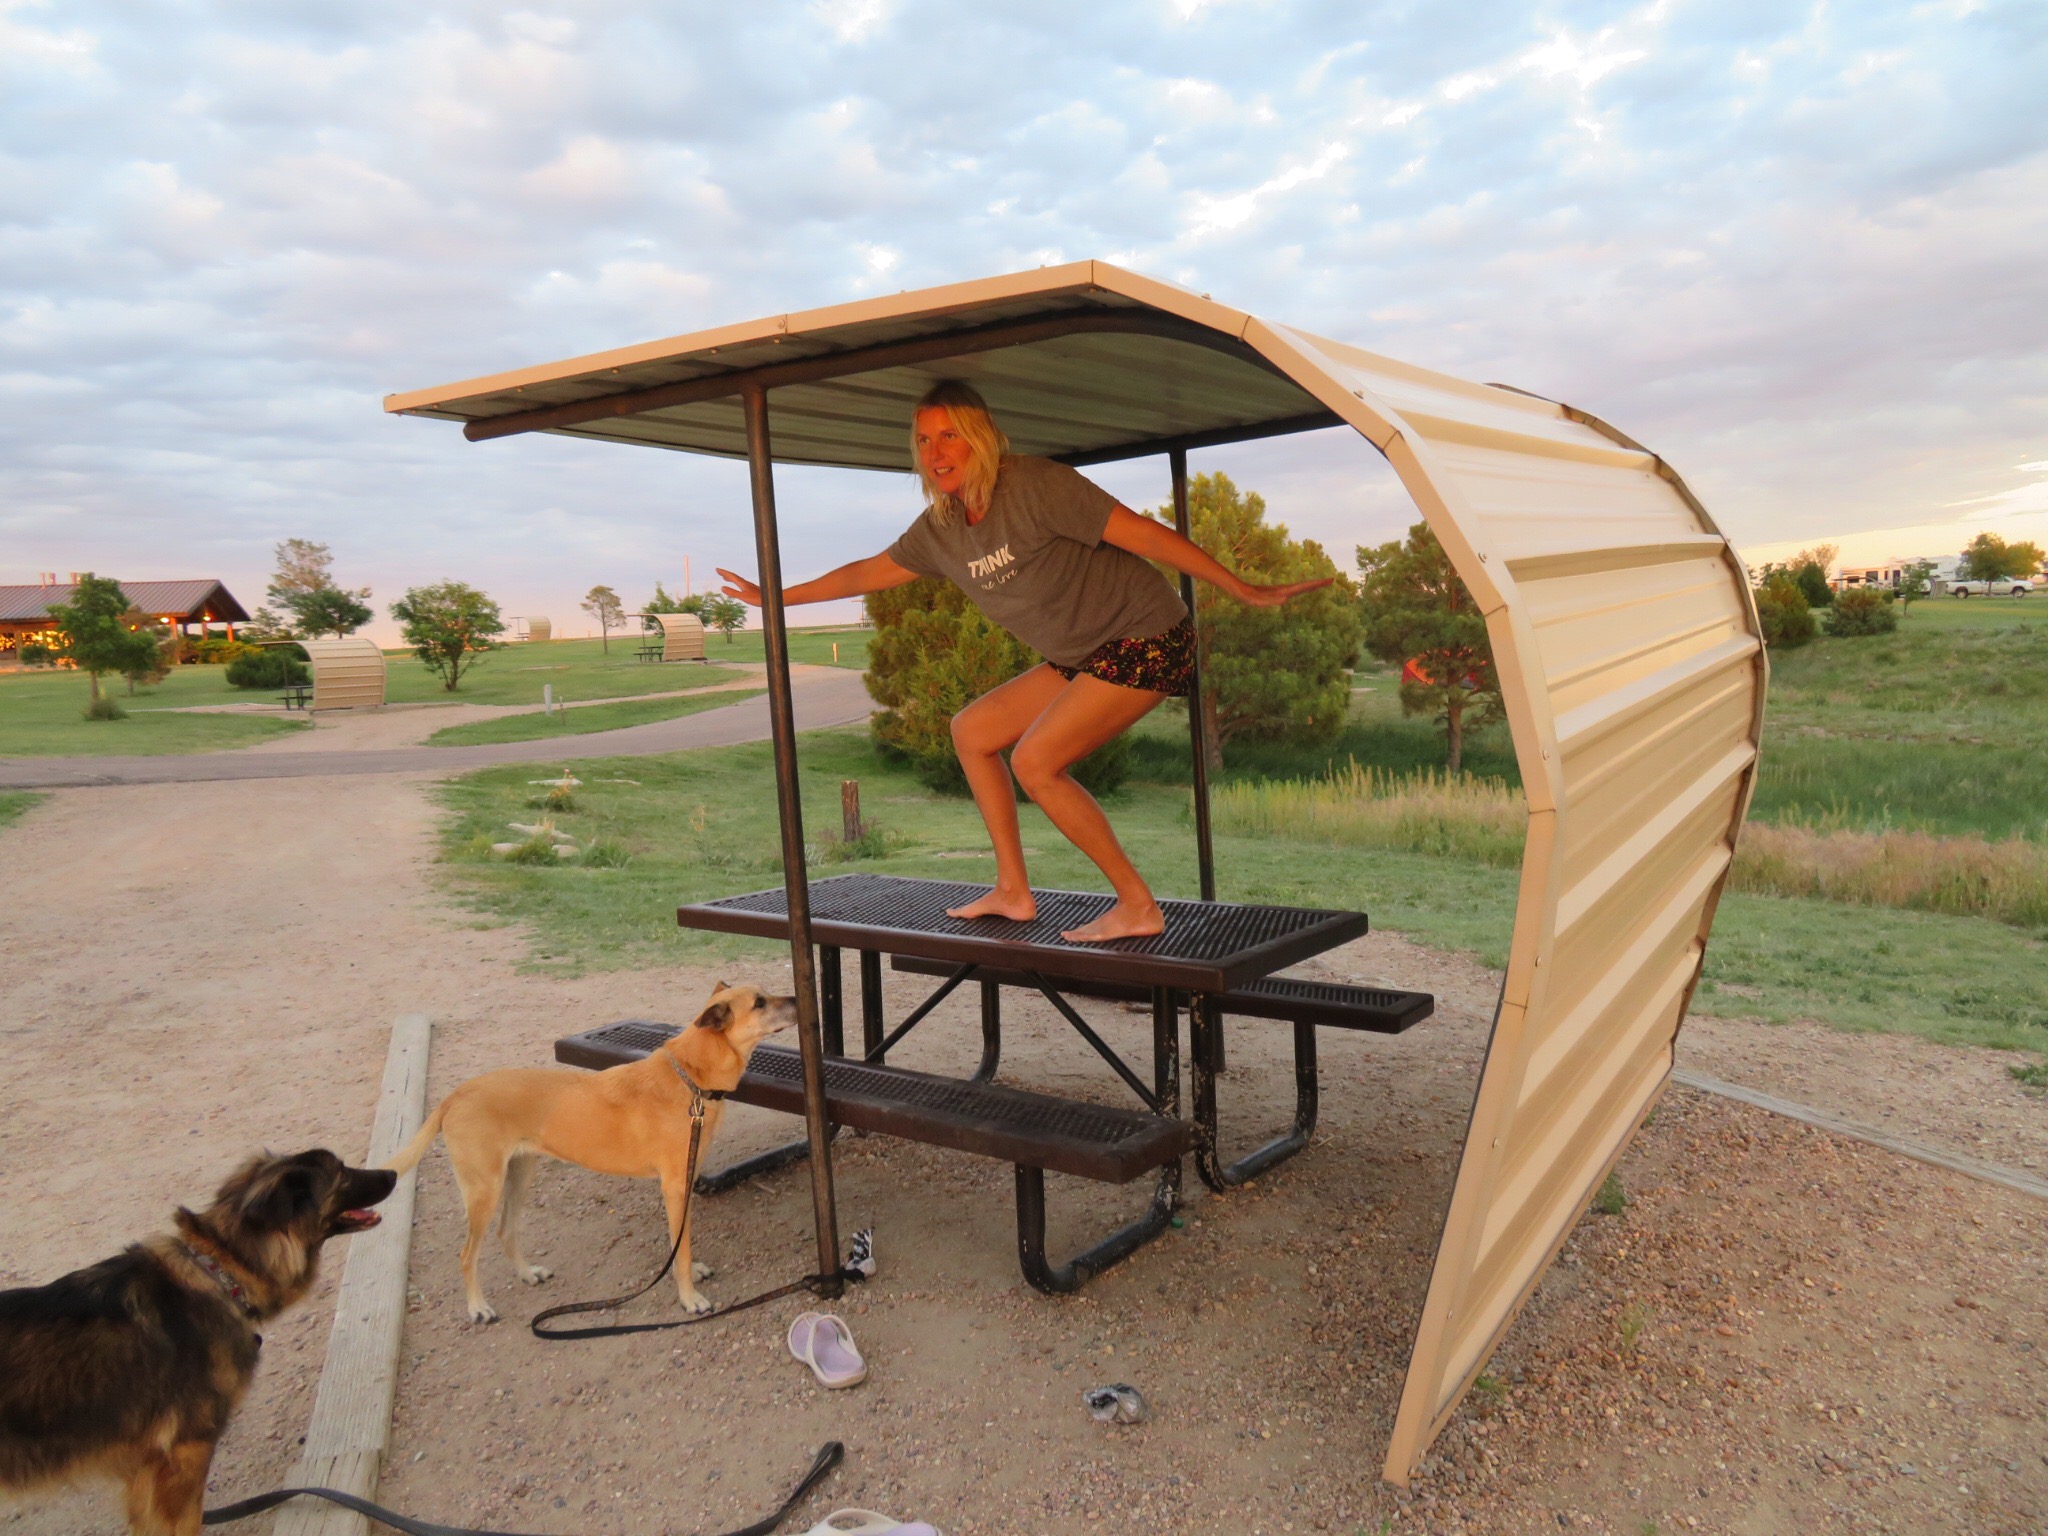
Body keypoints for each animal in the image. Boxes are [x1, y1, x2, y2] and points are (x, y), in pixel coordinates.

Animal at [386, 982, 795, 1322]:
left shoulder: (684, 1185)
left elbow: (678, 1240)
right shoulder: (675, 1185)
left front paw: (690, 1273)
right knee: (466, 1255)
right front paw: (689, 1297)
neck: (690, 1078)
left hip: (518, 1177)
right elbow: (680, 1249)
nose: (794, 998)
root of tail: (456, 1095)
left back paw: (528, 1274)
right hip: (484, 1190)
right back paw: (477, 1307)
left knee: (506, 1231)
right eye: (759, 1002)